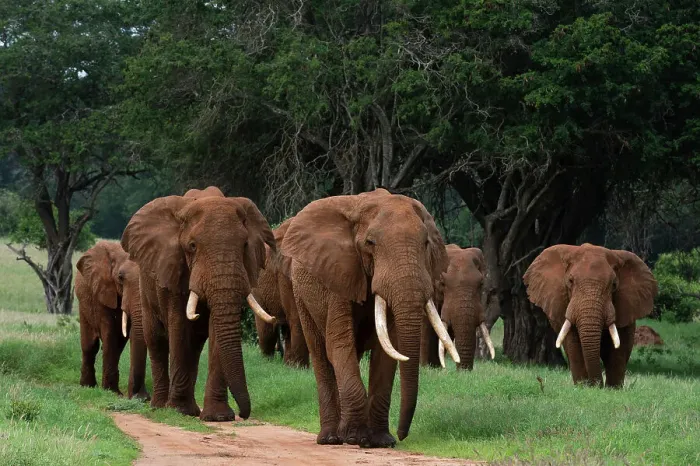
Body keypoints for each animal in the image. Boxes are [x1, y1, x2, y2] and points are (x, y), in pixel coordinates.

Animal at [76, 241, 149, 399]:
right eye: (120, 277)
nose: (141, 397)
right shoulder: (101, 290)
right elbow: (108, 332)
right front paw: (110, 392)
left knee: (118, 346)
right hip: (83, 302)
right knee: (90, 345)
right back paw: (87, 386)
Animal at [121, 186, 276, 420]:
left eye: (245, 245)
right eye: (192, 246)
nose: (243, 414)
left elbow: (216, 332)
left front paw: (218, 417)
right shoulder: (174, 269)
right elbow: (179, 328)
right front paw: (178, 411)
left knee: (193, 347)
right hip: (145, 288)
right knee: (156, 339)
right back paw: (160, 406)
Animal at [280, 188, 460, 448]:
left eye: (426, 243)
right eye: (370, 243)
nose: (402, 435)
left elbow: (388, 351)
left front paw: (380, 441)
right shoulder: (339, 272)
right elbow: (339, 345)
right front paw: (355, 437)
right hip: (301, 294)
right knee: (321, 354)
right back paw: (331, 438)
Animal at [523, 243, 657, 387]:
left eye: (614, 285)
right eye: (570, 281)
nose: (598, 386)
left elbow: (618, 350)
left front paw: (612, 389)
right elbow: (574, 345)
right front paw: (583, 387)